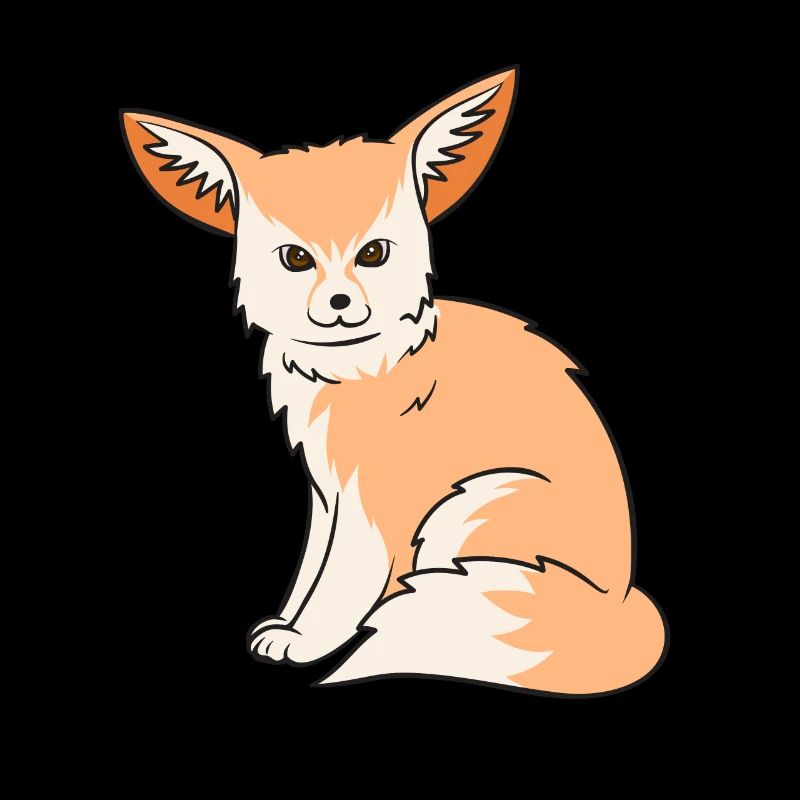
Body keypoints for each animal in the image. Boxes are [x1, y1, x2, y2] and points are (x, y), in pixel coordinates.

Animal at [121, 67, 667, 695]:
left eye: (374, 253)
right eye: (295, 260)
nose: (339, 304)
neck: (360, 369)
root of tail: (619, 605)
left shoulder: (372, 506)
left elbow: (344, 583)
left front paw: (309, 642)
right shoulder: (326, 493)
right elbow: (311, 569)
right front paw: (288, 623)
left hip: (470, 504)